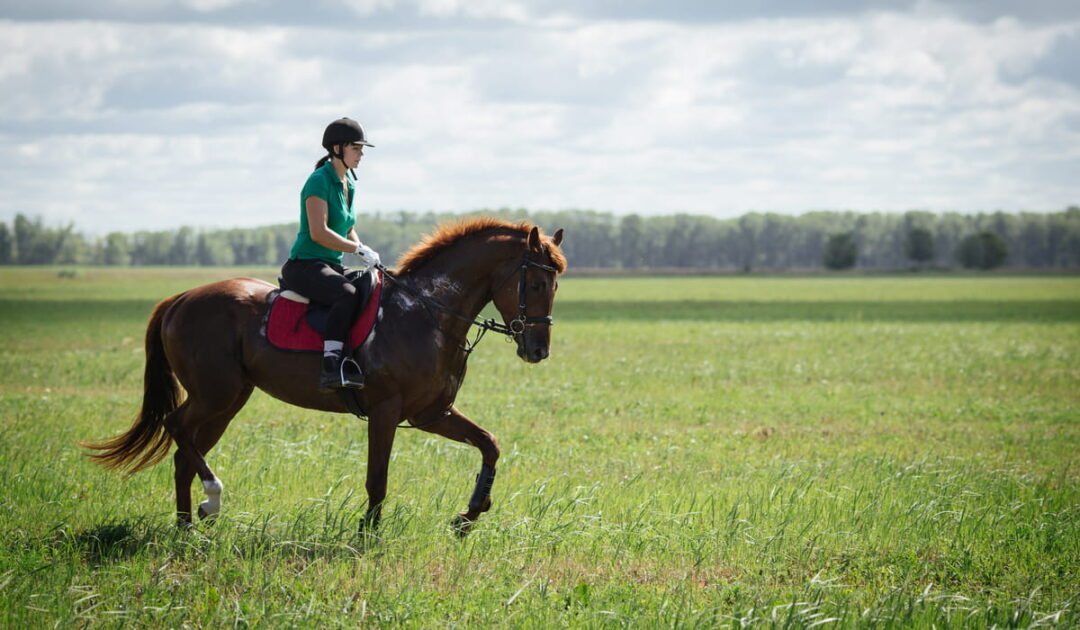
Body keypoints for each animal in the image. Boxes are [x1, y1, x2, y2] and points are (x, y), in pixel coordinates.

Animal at [81, 218, 566, 534]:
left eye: (556, 284)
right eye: (536, 284)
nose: (538, 350)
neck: (427, 311)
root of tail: (180, 298)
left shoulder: (432, 413)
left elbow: (489, 444)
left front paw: (469, 515)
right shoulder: (386, 411)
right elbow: (377, 478)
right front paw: (367, 535)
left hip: (227, 402)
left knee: (185, 454)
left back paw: (187, 526)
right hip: (214, 395)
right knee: (176, 427)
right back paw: (212, 497)